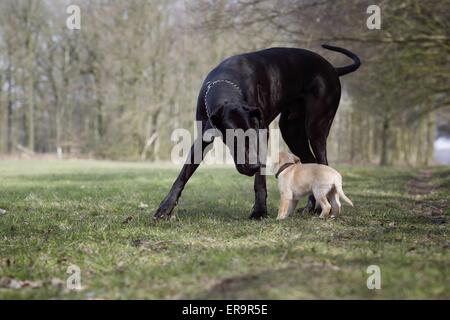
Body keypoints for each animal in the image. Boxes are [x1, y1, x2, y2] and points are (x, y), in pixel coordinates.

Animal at [153, 44, 360, 220]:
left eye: (252, 135)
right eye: (234, 138)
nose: (251, 166)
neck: (226, 87)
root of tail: (332, 68)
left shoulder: (262, 131)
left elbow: (260, 180)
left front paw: (259, 210)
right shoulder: (203, 137)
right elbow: (183, 174)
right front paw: (165, 207)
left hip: (316, 126)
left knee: (322, 160)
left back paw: (318, 208)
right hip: (291, 130)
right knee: (310, 160)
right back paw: (310, 207)